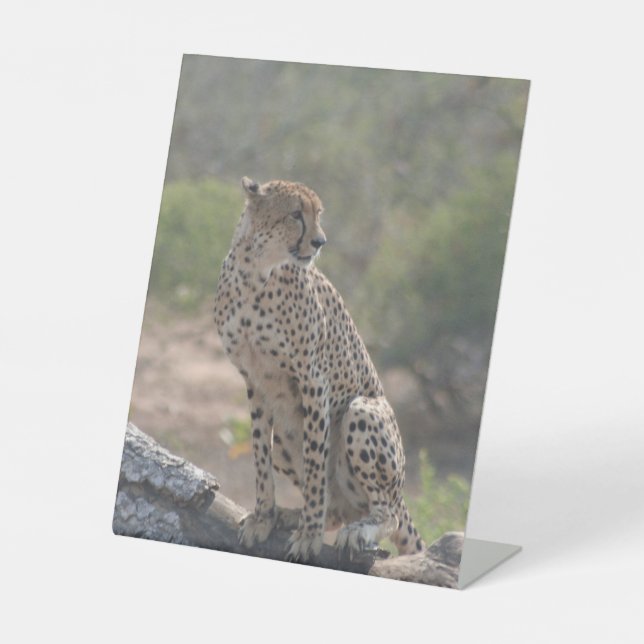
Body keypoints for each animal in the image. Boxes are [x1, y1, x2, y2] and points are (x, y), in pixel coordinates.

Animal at [213, 176, 425, 562]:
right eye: (296, 214)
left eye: (318, 214)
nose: (319, 241)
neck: (256, 271)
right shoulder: (255, 380)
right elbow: (259, 455)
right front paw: (264, 516)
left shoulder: (312, 380)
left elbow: (314, 466)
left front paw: (309, 535)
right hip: (285, 436)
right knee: (340, 508)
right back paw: (288, 515)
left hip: (363, 412)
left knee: (385, 513)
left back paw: (355, 529)